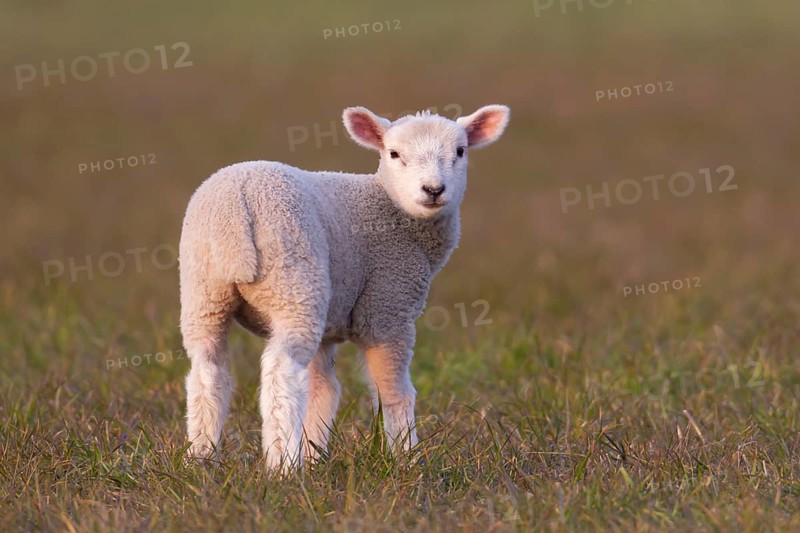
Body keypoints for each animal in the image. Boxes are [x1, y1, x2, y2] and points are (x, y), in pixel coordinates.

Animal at [179, 104, 510, 470]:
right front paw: (405, 459)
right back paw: (282, 466)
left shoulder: (329, 327)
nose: (433, 189)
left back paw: (201, 458)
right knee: (282, 373)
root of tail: (236, 207)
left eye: (460, 151)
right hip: (295, 285)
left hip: (203, 294)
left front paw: (314, 456)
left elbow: (324, 390)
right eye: (394, 154)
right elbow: (393, 391)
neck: (390, 208)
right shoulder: (387, 307)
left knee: (208, 371)